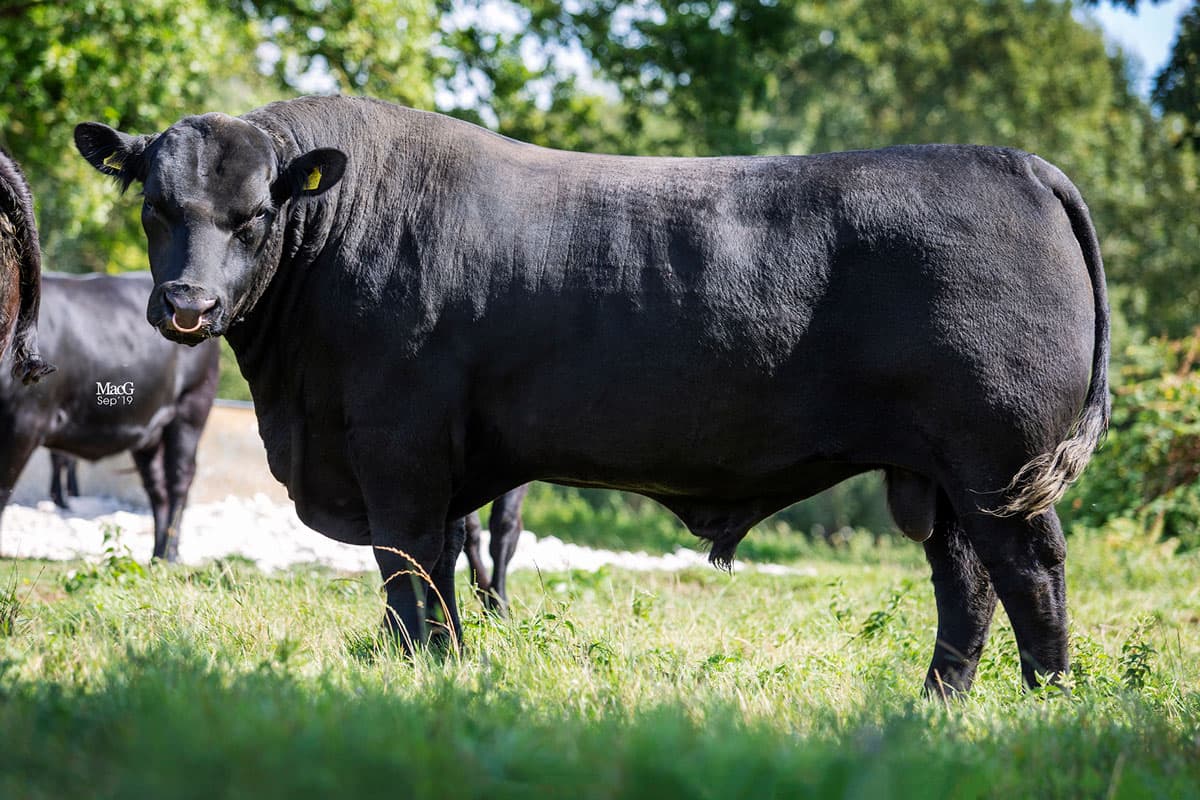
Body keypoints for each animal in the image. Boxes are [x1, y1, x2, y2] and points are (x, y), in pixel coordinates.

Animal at [0, 272, 219, 561]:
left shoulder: (25, 422)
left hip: (192, 407)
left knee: (179, 480)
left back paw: (170, 556)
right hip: (149, 432)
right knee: (157, 488)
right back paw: (156, 557)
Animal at [74, 95, 1109, 693]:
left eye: (255, 215)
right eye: (156, 208)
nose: (188, 305)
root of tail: (1012, 161)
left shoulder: (398, 452)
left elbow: (409, 574)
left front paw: (421, 673)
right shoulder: (441, 470)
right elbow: (442, 572)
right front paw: (451, 670)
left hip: (998, 463)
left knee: (1030, 574)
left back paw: (1048, 702)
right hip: (942, 478)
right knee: (965, 586)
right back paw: (940, 706)